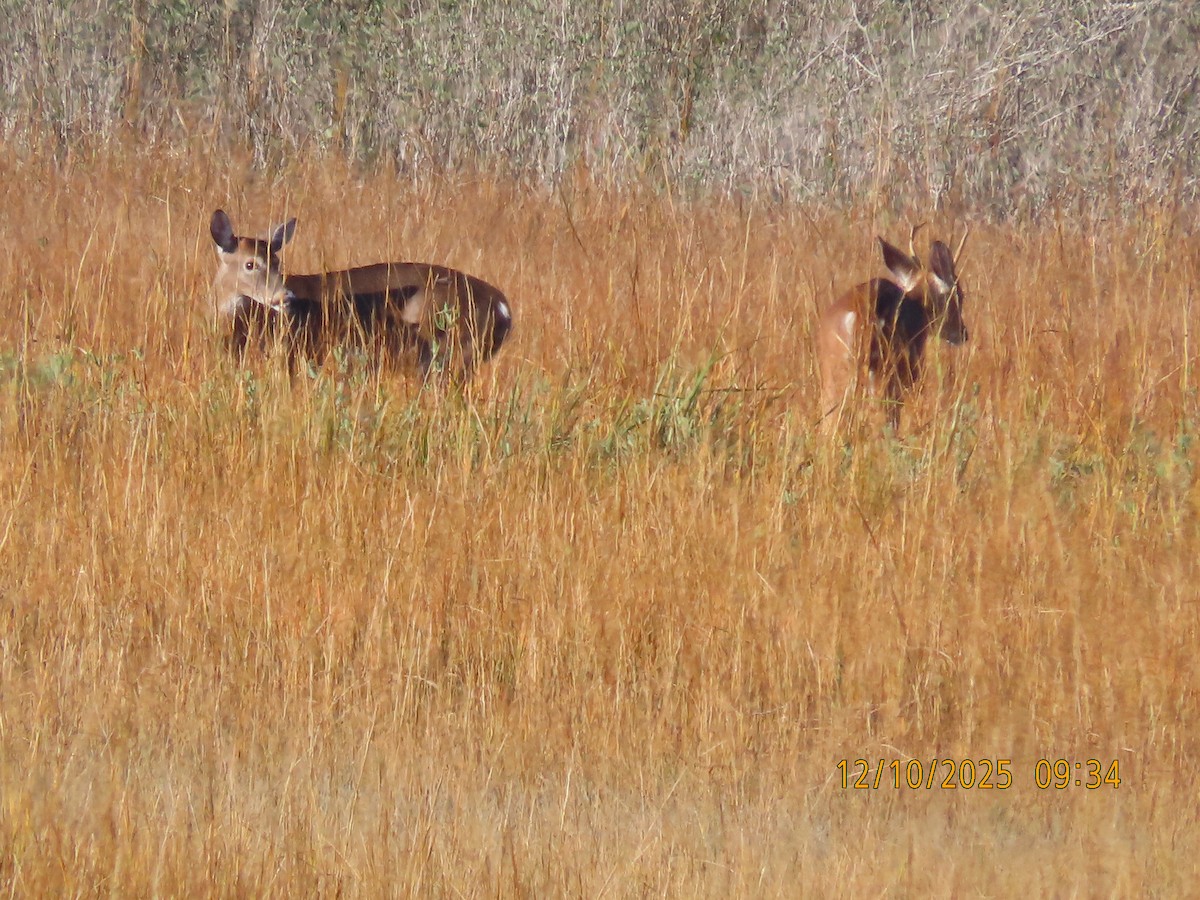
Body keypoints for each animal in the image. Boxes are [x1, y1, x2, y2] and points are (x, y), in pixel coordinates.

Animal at [209, 209, 513, 381]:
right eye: (250, 264)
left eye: (277, 263)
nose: (285, 297)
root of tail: (504, 309)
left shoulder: (300, 352)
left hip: (448, 348)